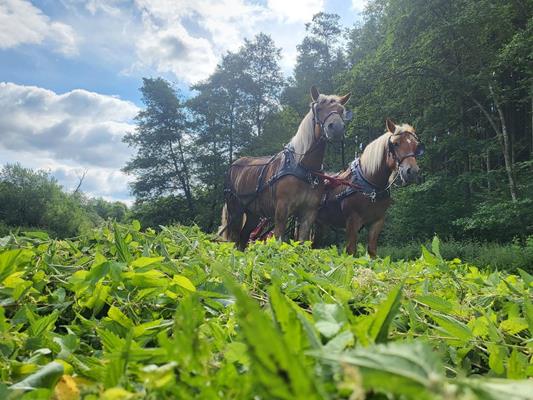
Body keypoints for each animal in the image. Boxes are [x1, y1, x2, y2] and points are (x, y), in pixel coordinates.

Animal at [218, 86, 352, 250]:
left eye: (341, 110)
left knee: (243, 238)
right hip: (235, 210)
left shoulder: (308, 213)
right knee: (234, 239)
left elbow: (302, 244)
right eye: (319, 108)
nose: (337, 128)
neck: (304, 168)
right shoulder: (282, 211)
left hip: (253, 213)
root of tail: (234, 165)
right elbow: (278, 241)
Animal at [316, 119, 424, 256]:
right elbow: (351, 251)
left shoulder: (377, 221)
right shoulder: (352, 221)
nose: (412, 172)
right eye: (395, 144)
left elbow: (372, 251)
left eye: (416, 146)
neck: (370, 186)